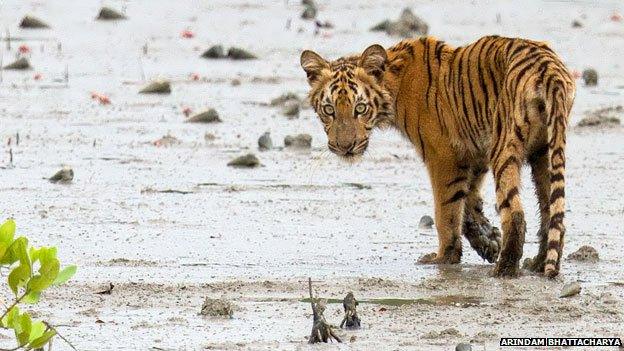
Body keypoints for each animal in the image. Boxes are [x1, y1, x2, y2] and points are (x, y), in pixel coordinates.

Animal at [300, 35, 576, 278]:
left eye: (360, 108)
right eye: (329, 110)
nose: (345, 147)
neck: (394, 84)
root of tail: (548, 69)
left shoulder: (444, 156)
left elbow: (447, 211)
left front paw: (445, 256)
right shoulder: (475, 152)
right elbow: (469, 202)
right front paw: (487, 240)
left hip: (505, 147)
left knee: (515, 212)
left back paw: (505, 269)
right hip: (545, 151)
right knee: (550, 211)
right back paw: (537, 263)